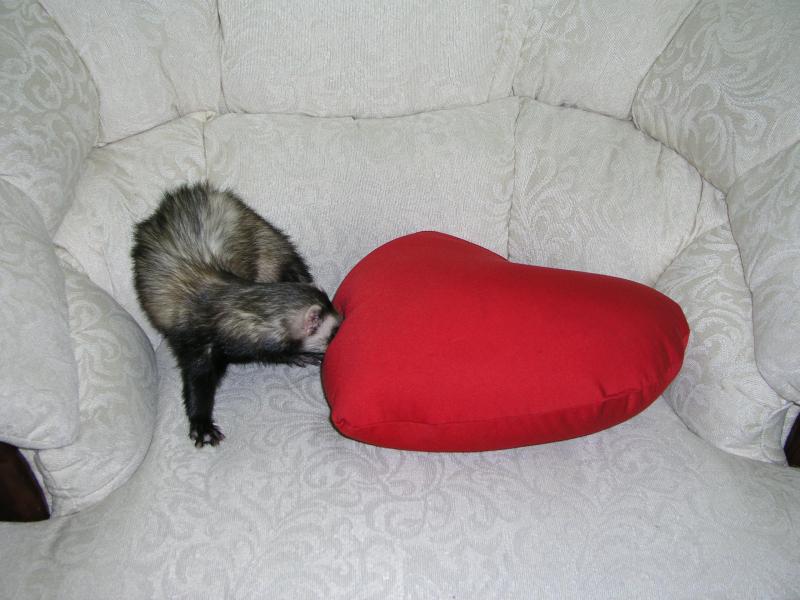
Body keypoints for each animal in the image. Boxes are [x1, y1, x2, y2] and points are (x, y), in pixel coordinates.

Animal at [132, 182, 340, 447]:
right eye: (333, 331)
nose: (345, 330)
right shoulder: (195, 345)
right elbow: (196, 385)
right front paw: (202, 425)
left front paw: (299, 356)